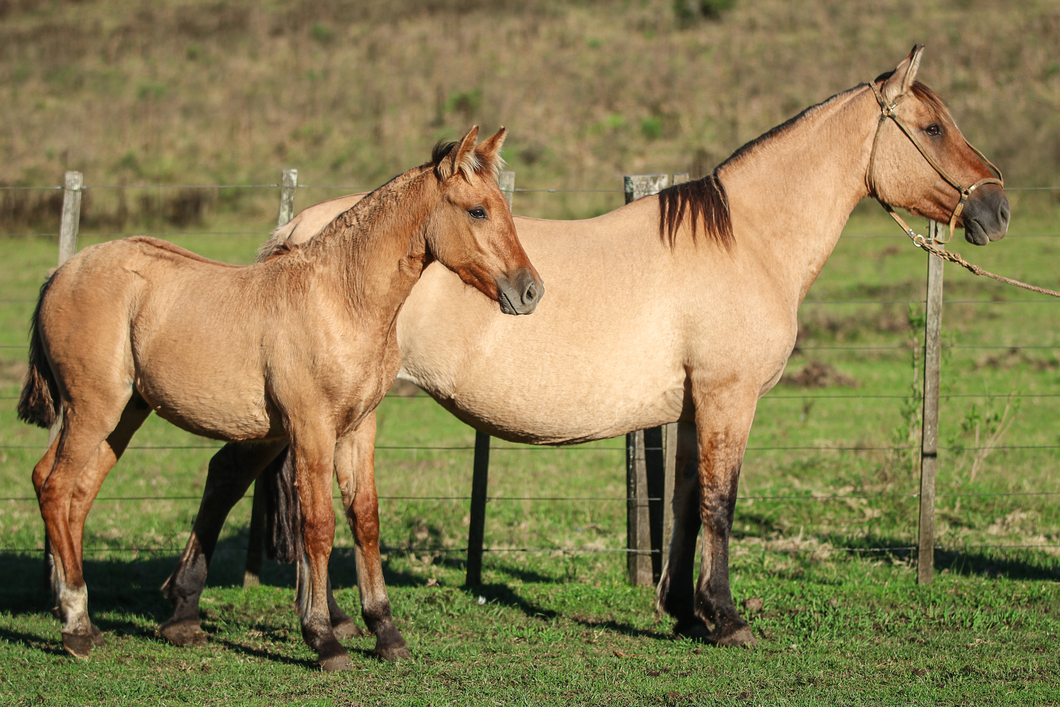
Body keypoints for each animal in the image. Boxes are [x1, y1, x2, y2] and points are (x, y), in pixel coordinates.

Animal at [16, 125, 542, 669]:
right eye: (477, 211)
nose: (530, 291)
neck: (340, 298)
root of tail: (61, 273)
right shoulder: (312, 427)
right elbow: (319, 524)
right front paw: (323, 637)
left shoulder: (359, 428)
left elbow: (365, 519)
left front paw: (386, 633)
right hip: (92, 409)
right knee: (54, 486)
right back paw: (77, 627)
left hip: (124, 414)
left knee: (77, 495)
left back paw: (80, 614)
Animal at [167, 44, 1009, 652]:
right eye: (932, 127)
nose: (997, 206)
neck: (746, 241)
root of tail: (303, 230)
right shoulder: (729, 397)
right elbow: (721, 503)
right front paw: (727, 618)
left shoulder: (695, 406)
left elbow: (685, 506)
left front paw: (684, 611)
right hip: (305, 410)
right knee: (234, 477)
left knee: (233, 476)